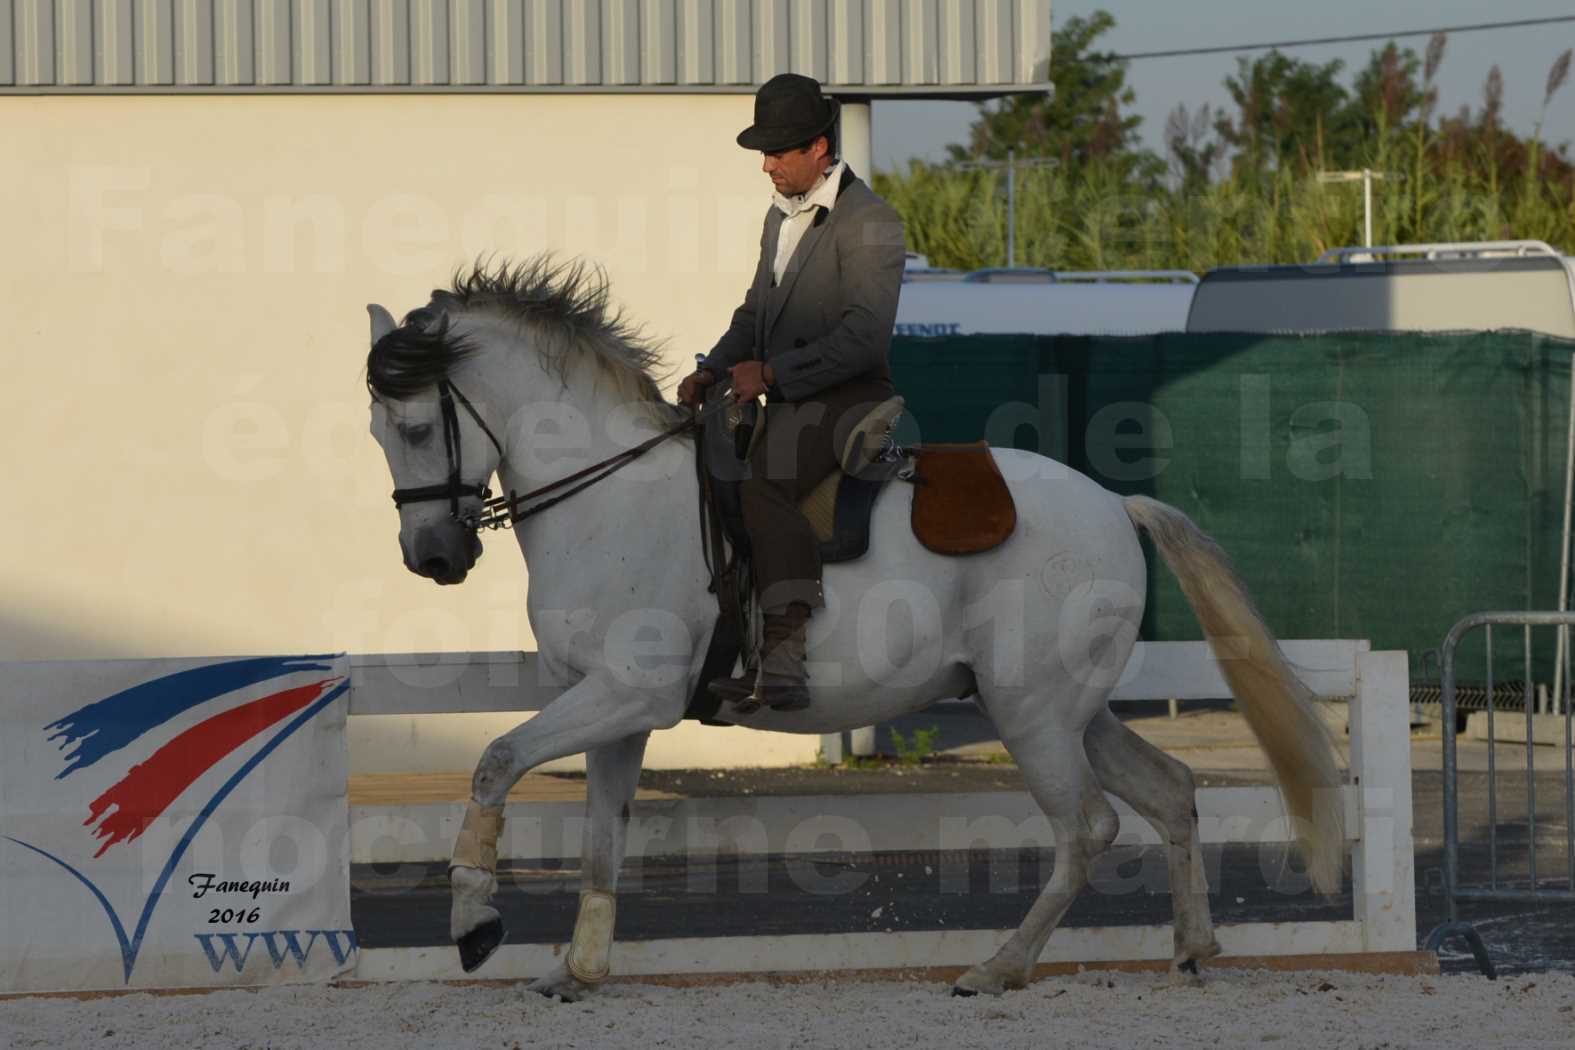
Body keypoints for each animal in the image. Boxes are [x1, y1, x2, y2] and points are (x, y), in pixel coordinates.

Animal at [365, 261, 1341, 1001]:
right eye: (377, 430)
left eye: (413, 425)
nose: (432, 556)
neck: (606, 495)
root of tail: (1112, 503)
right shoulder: (616, 713)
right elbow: (603, 834)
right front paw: (578, 969)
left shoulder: (625, 695)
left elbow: (494, 761)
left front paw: (475, 926)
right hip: (1067, 709)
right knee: (1170, 792)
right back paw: (1192, 949)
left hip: (1031, 714)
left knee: (1087, 828)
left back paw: (997, 968)